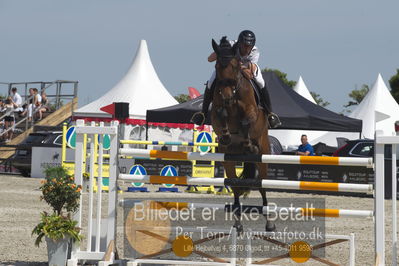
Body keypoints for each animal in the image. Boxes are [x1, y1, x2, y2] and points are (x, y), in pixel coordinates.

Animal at [209, 37, 276, 233]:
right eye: (217, 65)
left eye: (235, 65)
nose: (226, 96)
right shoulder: (216, 114)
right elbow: (221, 114)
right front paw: (225, 136)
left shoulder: (252, 113)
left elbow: (246, 122)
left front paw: (247, 142)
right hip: (229, 160)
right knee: (236, 186)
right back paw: (238, 223)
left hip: (263, 155)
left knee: (262, 186)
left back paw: (269, 223)